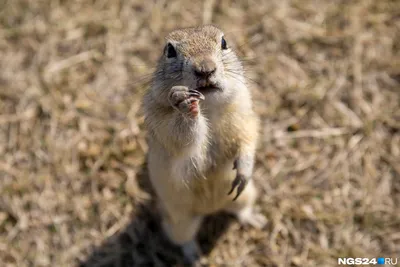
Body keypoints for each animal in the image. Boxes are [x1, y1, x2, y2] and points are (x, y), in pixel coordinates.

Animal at [141, 25, 266, 264]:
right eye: (169, 50)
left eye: (224, 42)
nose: (205, 69)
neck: (209, 108)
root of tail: (211, 210)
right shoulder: (162, 123)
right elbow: (180, 138)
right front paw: (184, 101)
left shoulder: (243, 111)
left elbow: (248, 137)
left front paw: (244, 170)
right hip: (181, 221)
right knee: (181, 238)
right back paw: (195, 257)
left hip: (247, 195)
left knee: (240, 209)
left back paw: (256, 220)